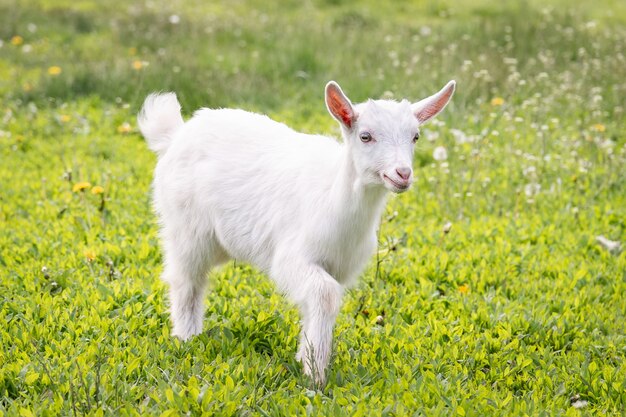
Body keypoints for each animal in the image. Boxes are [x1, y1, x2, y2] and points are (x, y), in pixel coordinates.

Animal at [139, 79, 456, 382]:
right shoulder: (292, 258)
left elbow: (314, 303)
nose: (403, 174)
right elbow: (325, 295)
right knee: (186, 278)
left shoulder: (337, 266)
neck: (334, 199)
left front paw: (306, 356)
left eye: (415, 136)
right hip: (186, 226)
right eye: (365, 136)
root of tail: (175, 135)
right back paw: (187, 337)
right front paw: (315, 375)